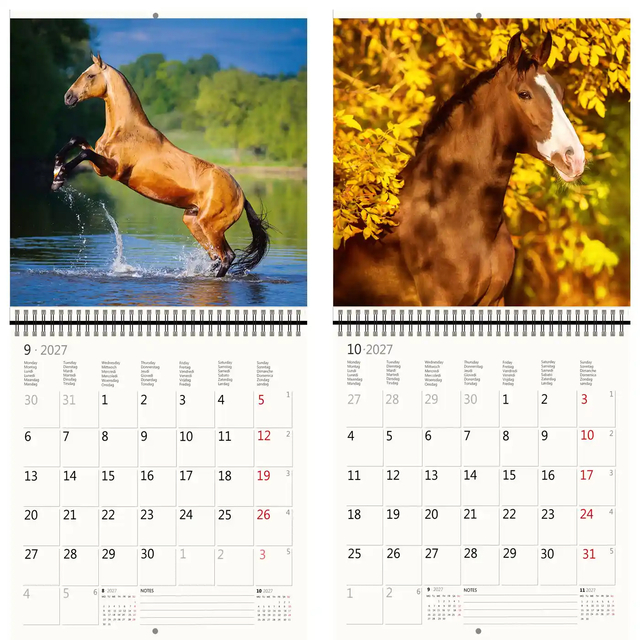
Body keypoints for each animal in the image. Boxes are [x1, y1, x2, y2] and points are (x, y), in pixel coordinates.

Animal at [52, 53, 269, 277]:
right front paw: (57, 167)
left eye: (90, 75)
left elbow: (85, 152)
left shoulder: (112, 169)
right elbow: (77, 140)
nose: (68, 97)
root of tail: (241, 196)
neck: (124, 130)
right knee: (217, 258)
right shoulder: (100, 165)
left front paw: (59, 177)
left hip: (212, 227)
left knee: (227, 257)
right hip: (193, 221)